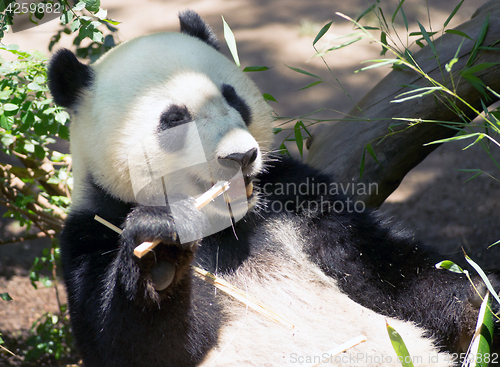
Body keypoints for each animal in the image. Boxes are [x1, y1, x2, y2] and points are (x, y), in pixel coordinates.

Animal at [47, 10, 496, 366]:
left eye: (233, 98)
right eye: (174, 120)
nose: (241, 155)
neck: (225, 222)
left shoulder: (293, 198)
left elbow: (385, 272)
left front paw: (479, 300)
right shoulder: (94, 230)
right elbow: (134, 345)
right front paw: (160, 253)